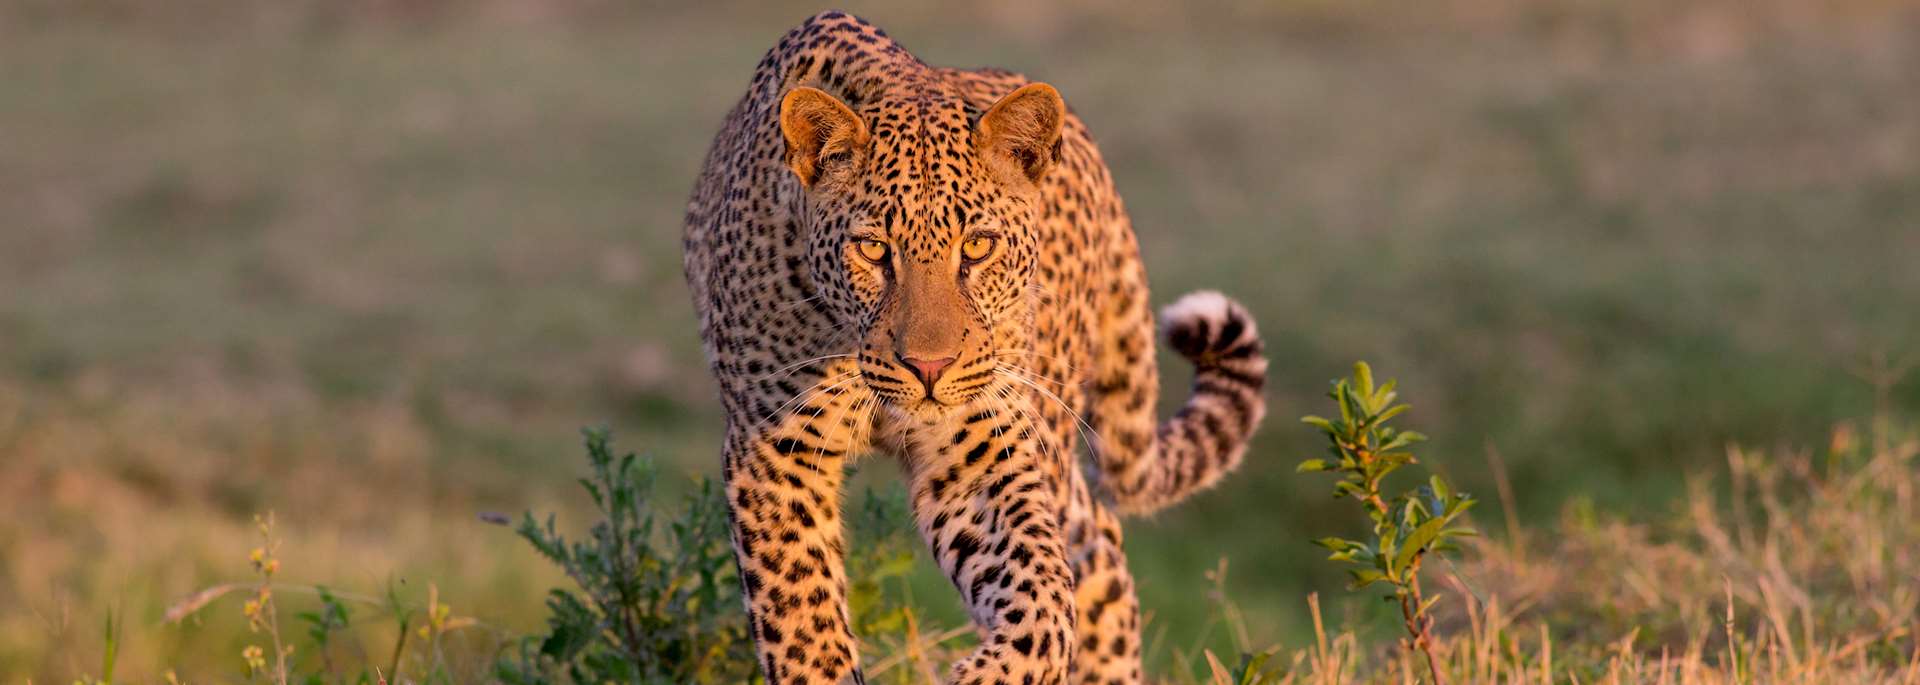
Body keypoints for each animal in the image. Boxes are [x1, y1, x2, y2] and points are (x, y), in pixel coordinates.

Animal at [681, 11, 1268, 684]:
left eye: (979, 247)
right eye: (874, 250)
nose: (929, 367)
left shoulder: (981, 452)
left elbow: (1043, 597)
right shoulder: (775, 450)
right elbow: (804, 622)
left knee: (1095, 557)